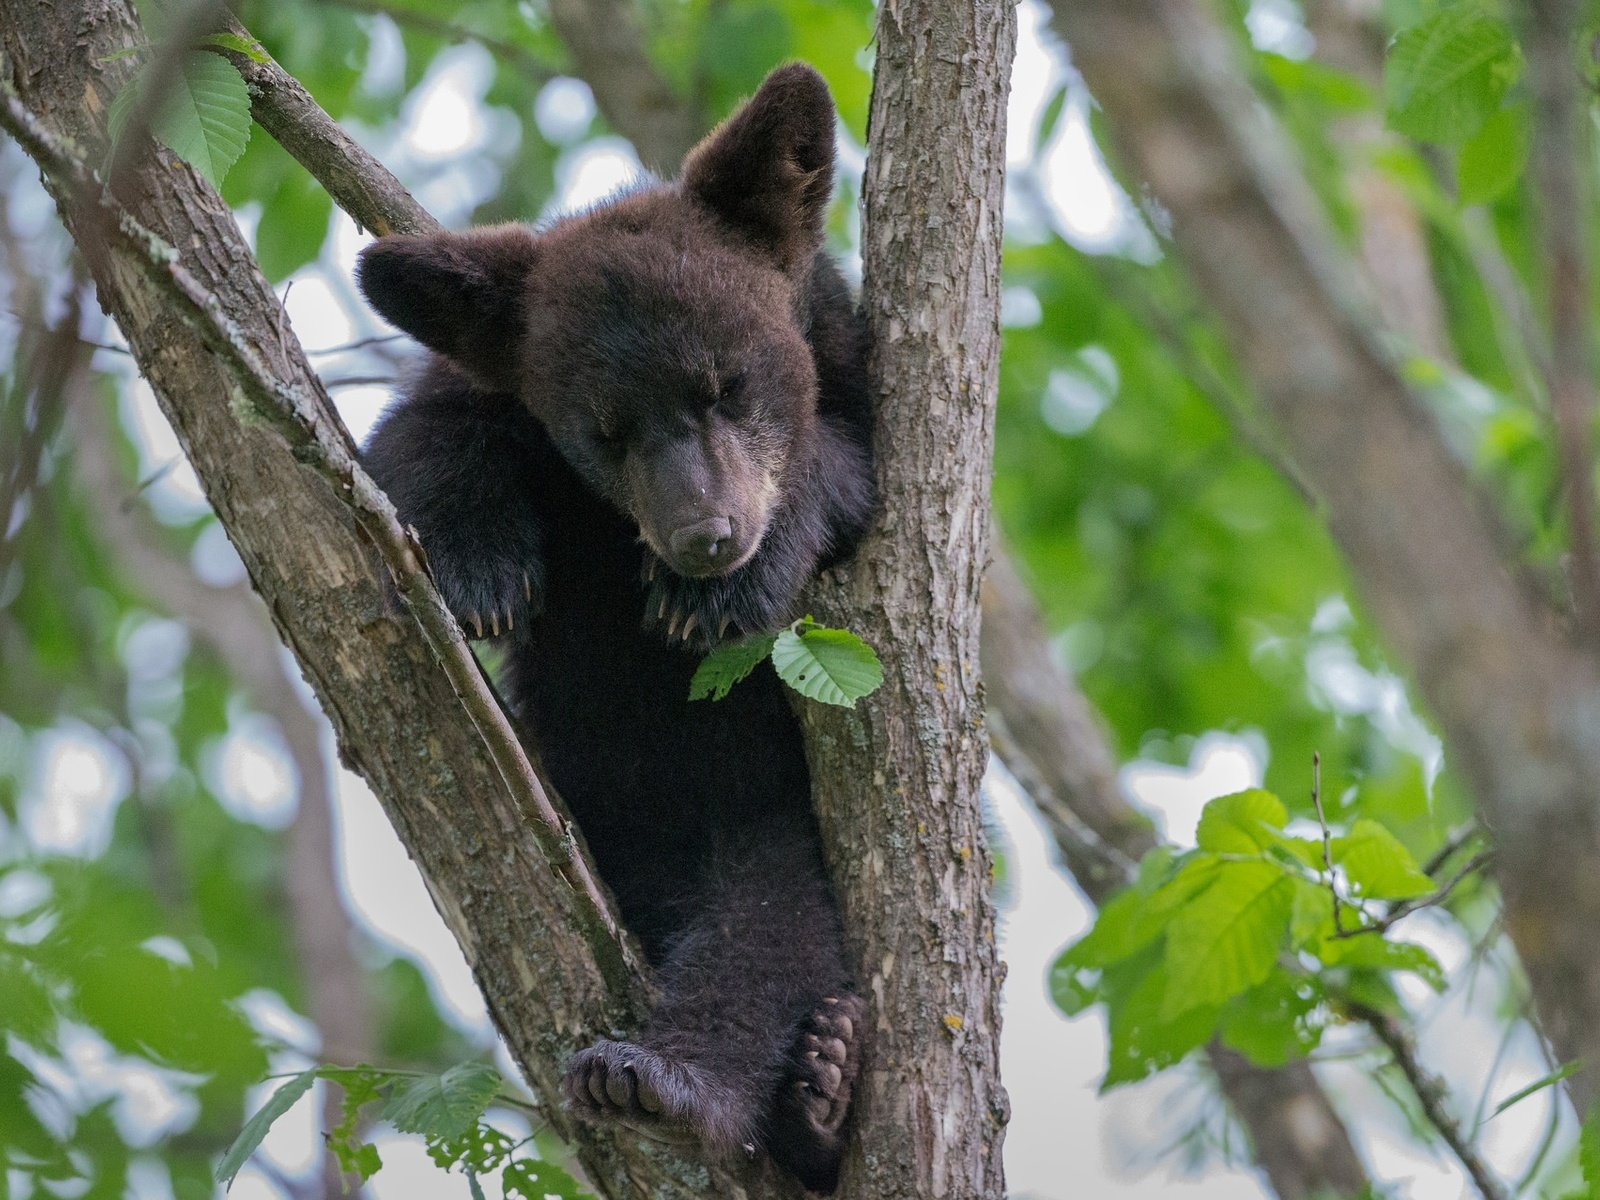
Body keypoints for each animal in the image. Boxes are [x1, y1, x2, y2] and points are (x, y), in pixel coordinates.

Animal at [355, 61, 876, 1190]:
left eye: (726, 385)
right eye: (606, 430)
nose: (704, 536)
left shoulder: (858, 375)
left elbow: (850, 469)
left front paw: (722, 592)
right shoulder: (484, 379)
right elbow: (418, 437)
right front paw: (482, 567)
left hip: (776, 823)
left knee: (771, 933)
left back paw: (734, 1083)